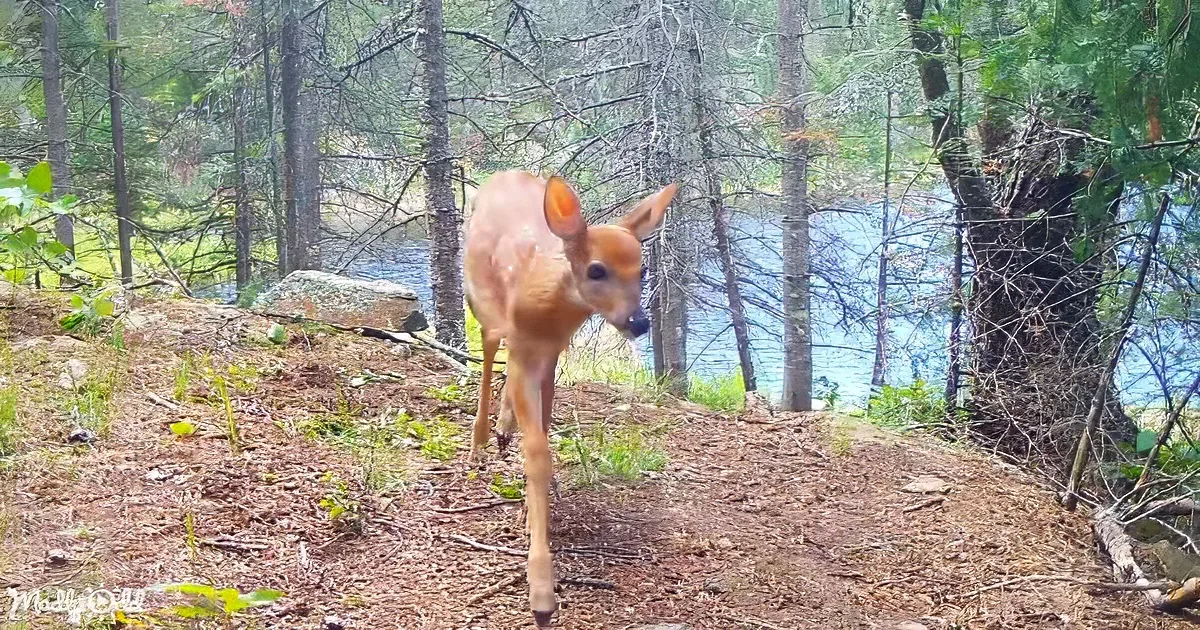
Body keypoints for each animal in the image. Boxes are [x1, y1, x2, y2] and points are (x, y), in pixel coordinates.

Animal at [463, 171, 676, 627]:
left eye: (643, 268)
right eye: (596, 269)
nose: (638, 322)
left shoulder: (550, 353)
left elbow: (543, 431)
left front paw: (531, 512)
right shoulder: (524, 345)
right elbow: (538, 453)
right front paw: (541, 592)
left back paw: (504, 428)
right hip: (481, 299)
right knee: (487, 347)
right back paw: (480, 444)